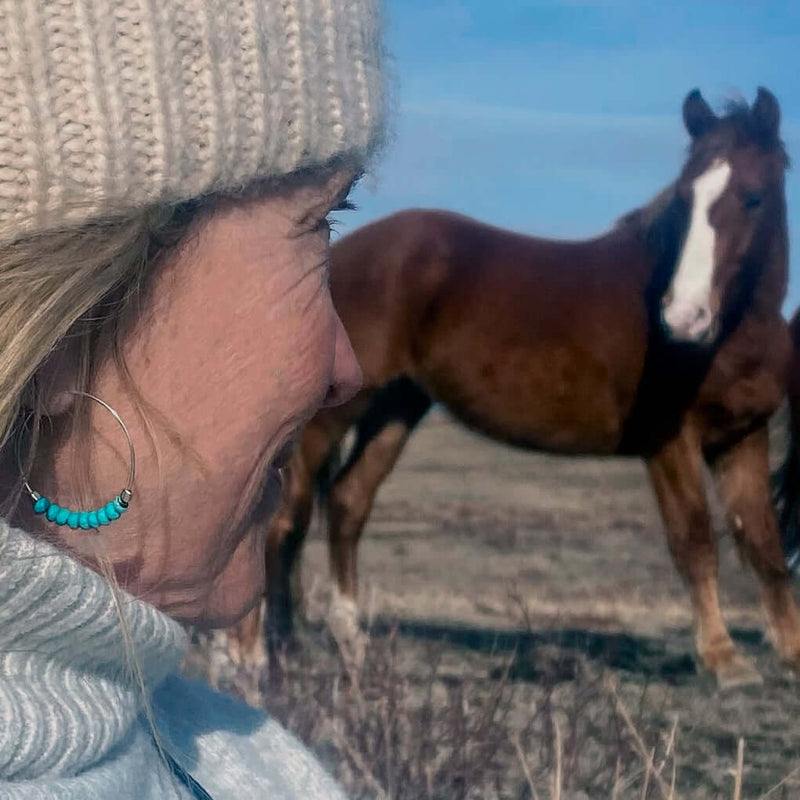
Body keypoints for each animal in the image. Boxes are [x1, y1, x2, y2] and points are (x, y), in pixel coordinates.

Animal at [236, 86, 792, 688]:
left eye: (753, 197)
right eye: (684, 199)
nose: (684, 318)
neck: (734, 335)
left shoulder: (744, 437)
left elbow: (765, 541)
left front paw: (789, 649)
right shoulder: (670, 444)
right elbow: (695, 542)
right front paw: (722, 657)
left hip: (398, 406)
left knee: (345, 503)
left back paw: (341, 646)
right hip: (330, 416)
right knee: (280, 522)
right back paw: (252, 657)